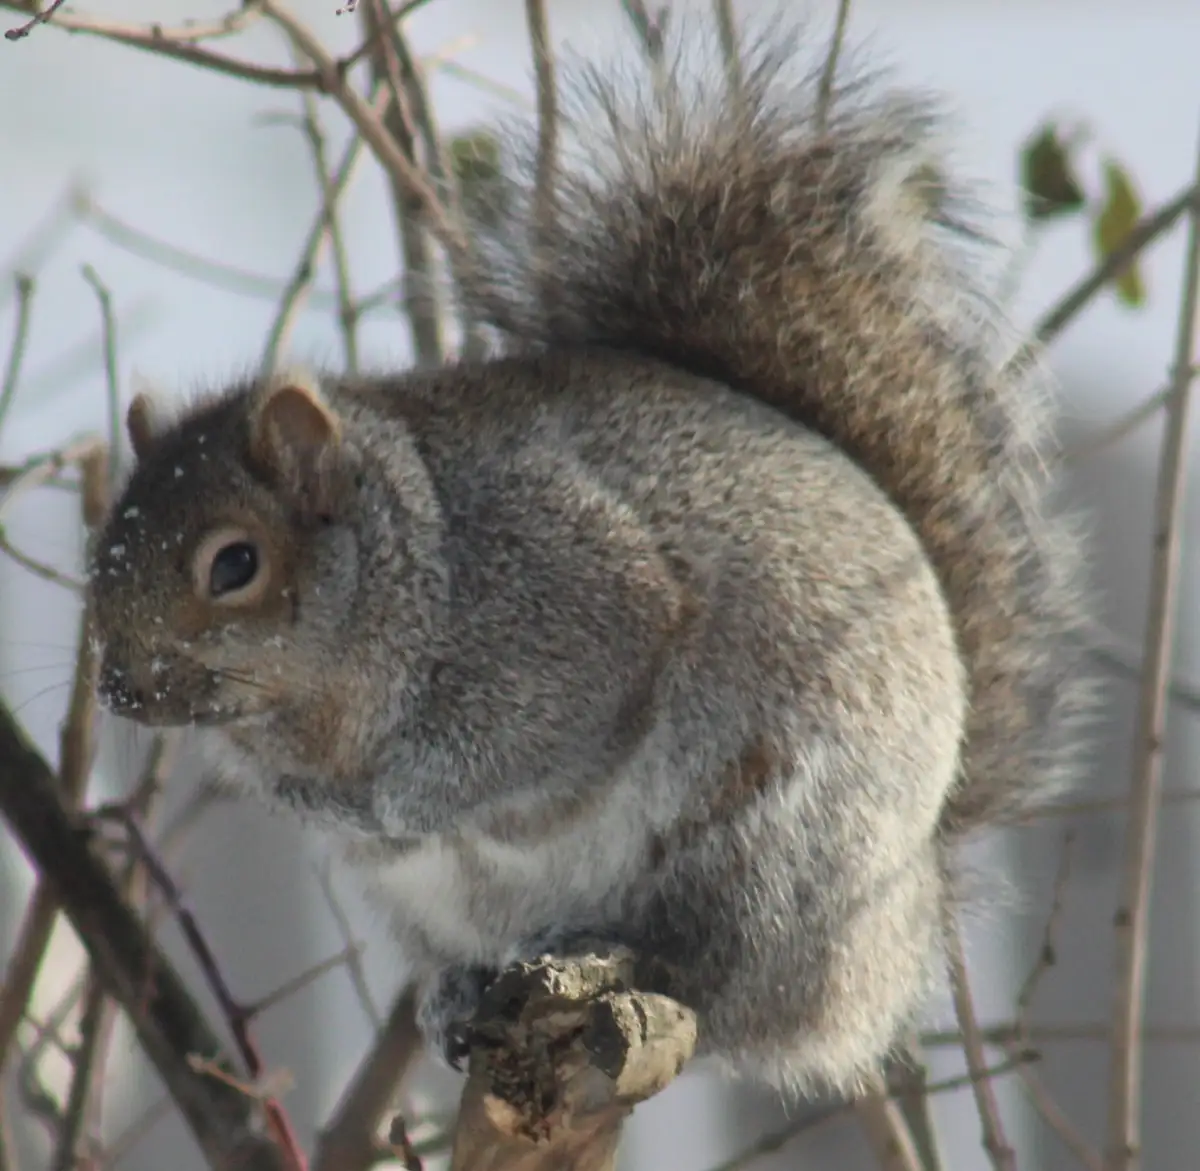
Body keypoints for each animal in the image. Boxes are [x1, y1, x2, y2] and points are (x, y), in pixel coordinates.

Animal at [86, 20, 1091, 1095]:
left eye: (233, 564)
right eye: (102, 545)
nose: (119, 688)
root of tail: (901, 925)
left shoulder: (571, 608)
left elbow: (514, 746)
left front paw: (398, 797)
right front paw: (326, 805)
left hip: (770, 850)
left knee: (720, 990)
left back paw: (608, 950)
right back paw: (455, 994)